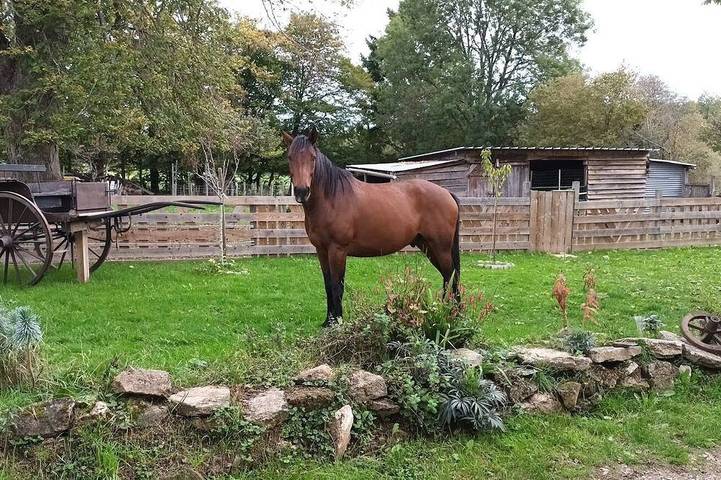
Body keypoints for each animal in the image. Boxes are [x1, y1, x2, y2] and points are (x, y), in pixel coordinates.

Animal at [283, 128, 461, 326]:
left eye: (312, 157)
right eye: (290, 157)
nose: (301, 191)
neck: (331, 199)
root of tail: (446, 193)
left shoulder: (338, 250)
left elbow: (338, 286)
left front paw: (338, 322)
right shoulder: (321, 251)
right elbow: (328, 285)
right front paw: (328, 322)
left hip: (440, 247)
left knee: (449, 275)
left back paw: (445, 312)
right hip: (428, 246)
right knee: (449, 275)